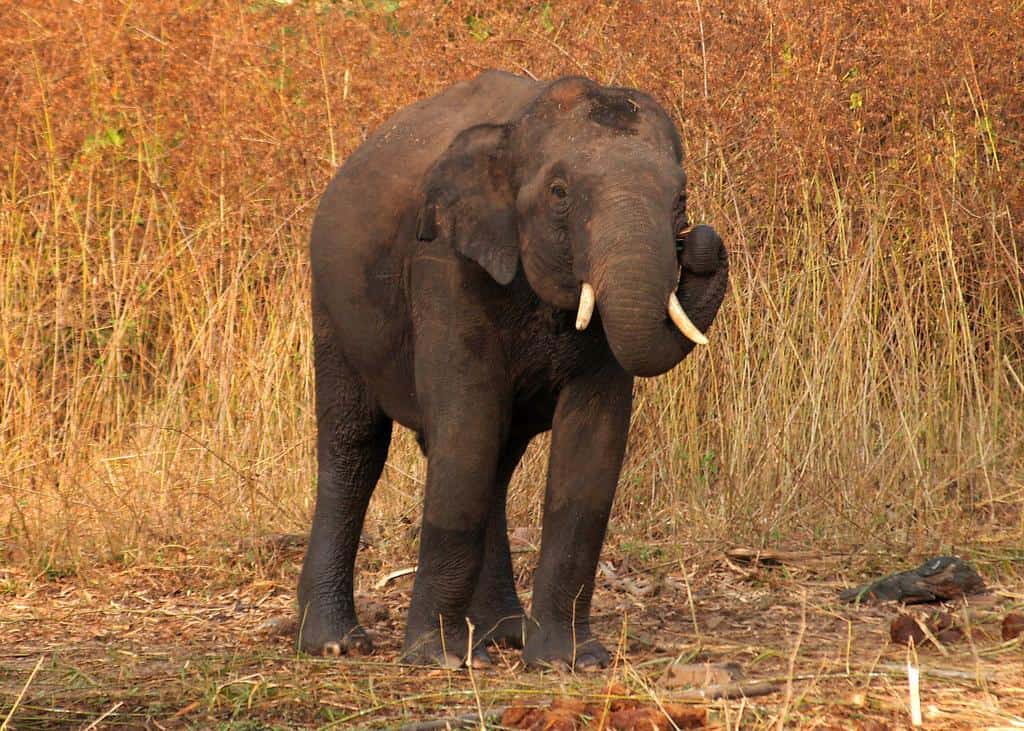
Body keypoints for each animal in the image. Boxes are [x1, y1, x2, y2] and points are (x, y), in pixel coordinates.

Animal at [296, 69, 729, 667]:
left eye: (681, 199)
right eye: (559, 194)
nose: (703, 240)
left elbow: (592, 445)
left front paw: (571, 660)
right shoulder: (443, 264)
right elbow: (466, 426)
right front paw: (440, 658)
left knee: (498, 461)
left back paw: (503, 634)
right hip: (333, 304)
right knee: (355, 447)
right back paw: (337, 642)